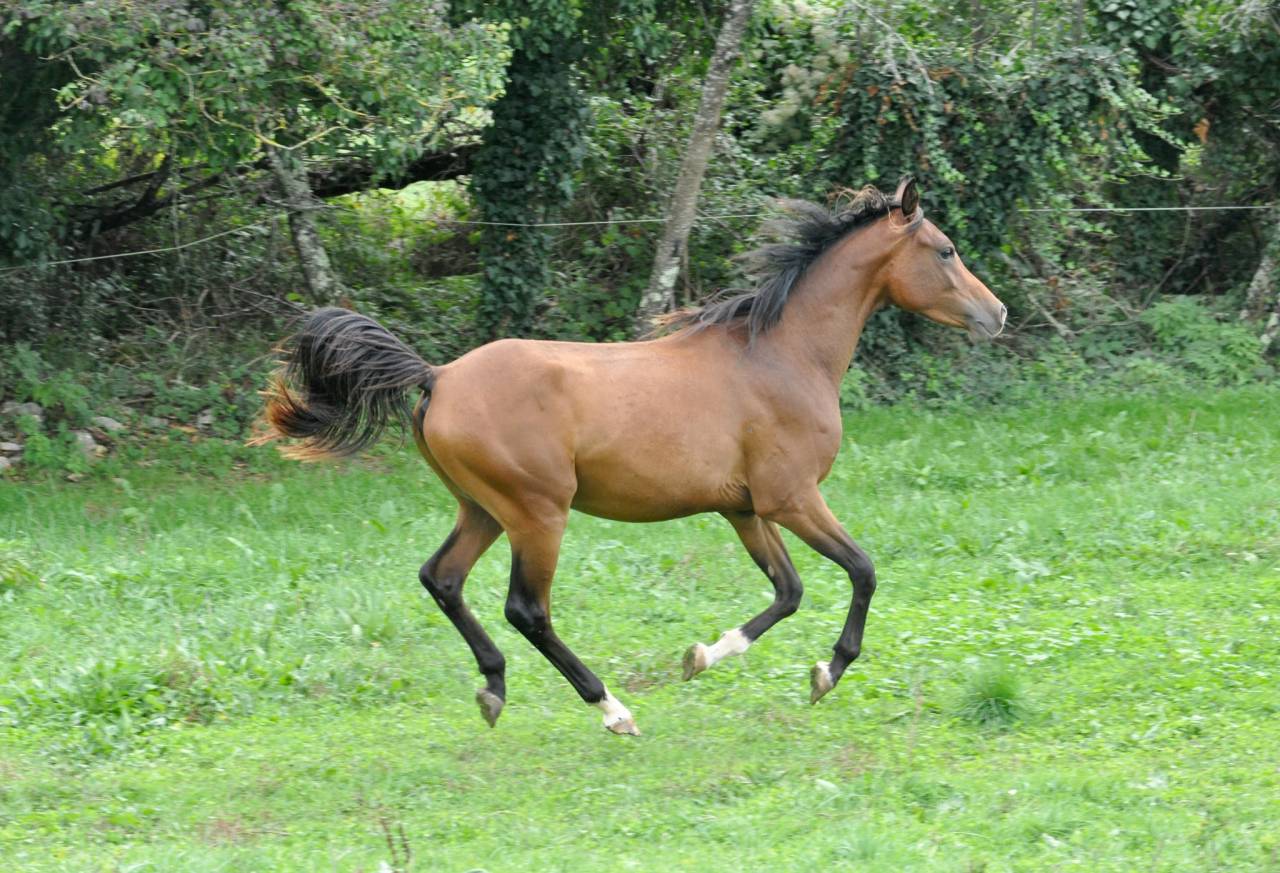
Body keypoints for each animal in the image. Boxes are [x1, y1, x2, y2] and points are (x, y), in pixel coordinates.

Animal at [253, 178, 1006, 736]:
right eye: (945, 250)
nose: (995, 315)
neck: (780, 355)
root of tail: (436, 376)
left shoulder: (745, 509)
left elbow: (787, 591)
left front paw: (702, 656)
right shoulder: (793, 497)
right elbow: (863, 570)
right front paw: (828, 672)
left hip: (483, 509)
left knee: (442, 578)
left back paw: (494, 688)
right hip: (538, 513)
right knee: (526, 609)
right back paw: (612, 708)